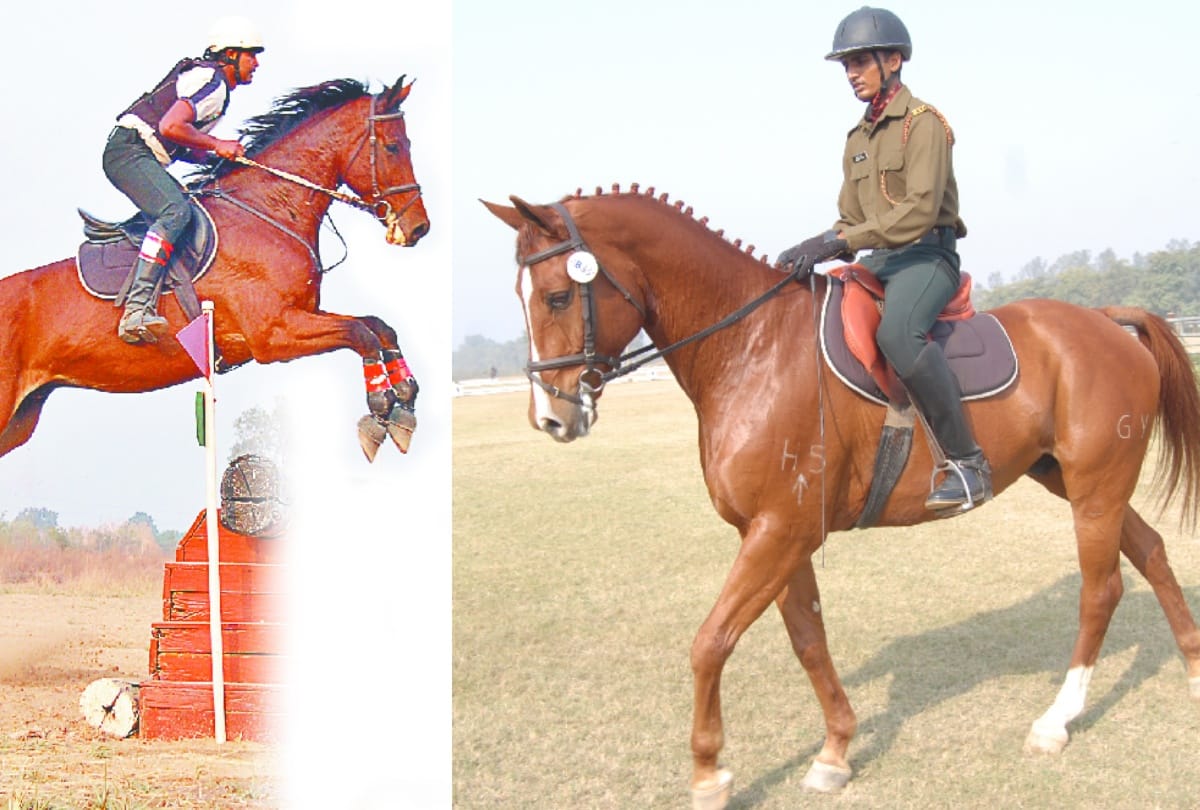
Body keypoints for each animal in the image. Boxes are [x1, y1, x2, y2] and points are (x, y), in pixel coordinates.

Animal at [0, 76, 429, 464]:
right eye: (393, 147)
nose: (419, 227)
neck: (269, 208)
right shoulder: (274, 335)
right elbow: (360, 333)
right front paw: (379, 411)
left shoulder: (302, 313)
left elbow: (379, 326)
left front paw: (404, 406)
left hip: (21, 418)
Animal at [485, 185, 1200, 809]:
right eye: (522, 296)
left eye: (557, 297)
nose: (551, 418)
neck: (753, 347)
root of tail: (1104, 320)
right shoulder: (778, 532)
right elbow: (808, 638)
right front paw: (834, 751)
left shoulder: (779, 530)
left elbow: (711, 641)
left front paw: (709, 773)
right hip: (1074, 482)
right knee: (1151, 551)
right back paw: (1192, 665)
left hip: (1095, 489)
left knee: (1101, 590)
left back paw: (1055, 720)